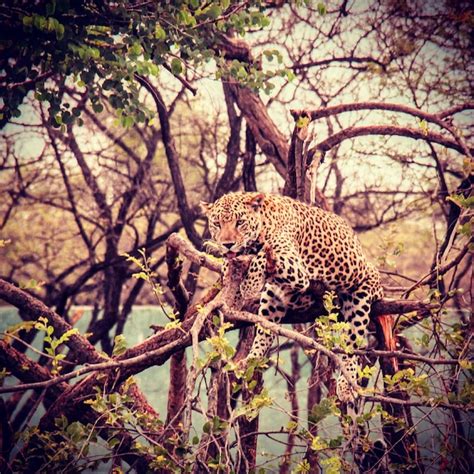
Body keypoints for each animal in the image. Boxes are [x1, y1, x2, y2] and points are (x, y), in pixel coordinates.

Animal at [199, 191, 382, 402]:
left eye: (240, 222)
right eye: (217, 224)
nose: (227, 244)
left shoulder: (295, 266)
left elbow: (261, 256)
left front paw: (249, 284)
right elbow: (235, 265)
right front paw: (231, 279)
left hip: (360, 294)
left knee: (351, 345)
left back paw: (346, 385)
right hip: (272, 297)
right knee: (264, 332)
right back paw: (251, 359)